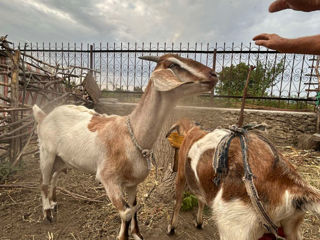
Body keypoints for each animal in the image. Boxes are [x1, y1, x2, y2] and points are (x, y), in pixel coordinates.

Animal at [31, 54, 218, 240]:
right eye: (173, 64)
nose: (214, 75)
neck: (132, 134)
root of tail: (44, 116)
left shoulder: (132, 182)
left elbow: (134, 205)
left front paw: (137, 234)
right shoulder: (108, 179)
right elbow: (126, 212)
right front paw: (124, 236)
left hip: (62, 158)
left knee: (54, 176)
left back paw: (53, 203)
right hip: (46, 152)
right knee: (43, 182)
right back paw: (47, 214)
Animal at [165, 119, 320, 240]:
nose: (173, 167)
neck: (192, 132)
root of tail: (289, 183)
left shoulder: (181, 176)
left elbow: (178, 202)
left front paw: (171, 228)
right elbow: (201, 200)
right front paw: (198, 222)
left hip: (234, 226)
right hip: (290, 228)